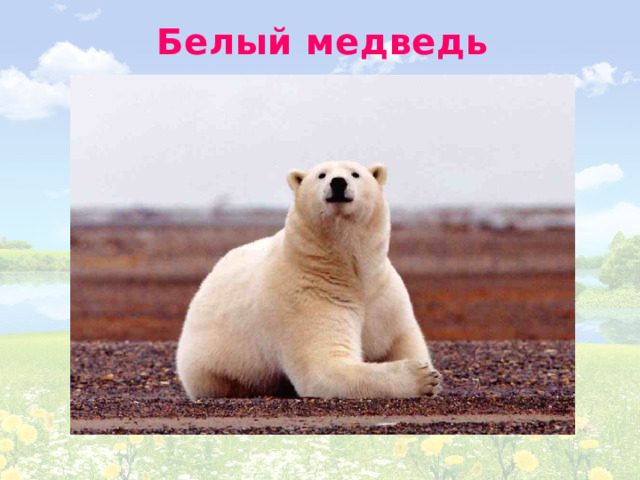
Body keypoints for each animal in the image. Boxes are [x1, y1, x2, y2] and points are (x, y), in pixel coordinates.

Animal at [176, 161, 441, 399]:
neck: (346, 268)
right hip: (213, 360)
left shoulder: (384, 295)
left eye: (355, 173)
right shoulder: (309, 294)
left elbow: (402, 339)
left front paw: (429, 372)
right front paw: (421, 377)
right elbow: (324, 365)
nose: (338, 182)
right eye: (321, 174)